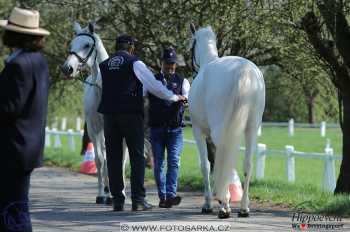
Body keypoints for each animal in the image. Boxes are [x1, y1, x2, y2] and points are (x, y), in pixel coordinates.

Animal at [189, 24, 266, 218]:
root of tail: (243, 71)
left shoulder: (198, 130)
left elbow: (206, 165)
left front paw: (208, 203)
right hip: (252, 129)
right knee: (247, 164)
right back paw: (243, 208)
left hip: (221, 131)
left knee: (225, 158)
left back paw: (224, 204)